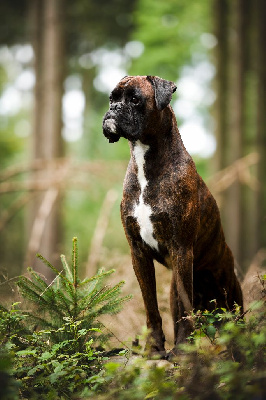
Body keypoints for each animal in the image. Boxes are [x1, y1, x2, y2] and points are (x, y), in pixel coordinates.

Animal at [102, 75, 243, 356]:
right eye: (112, 98)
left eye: (134, 99)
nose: (114, 109)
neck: (145, 161)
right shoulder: (138, 253)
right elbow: (151, 306)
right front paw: (154, 348)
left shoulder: (181, 249)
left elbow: (183, 308)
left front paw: (181, 350)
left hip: (231, 303)